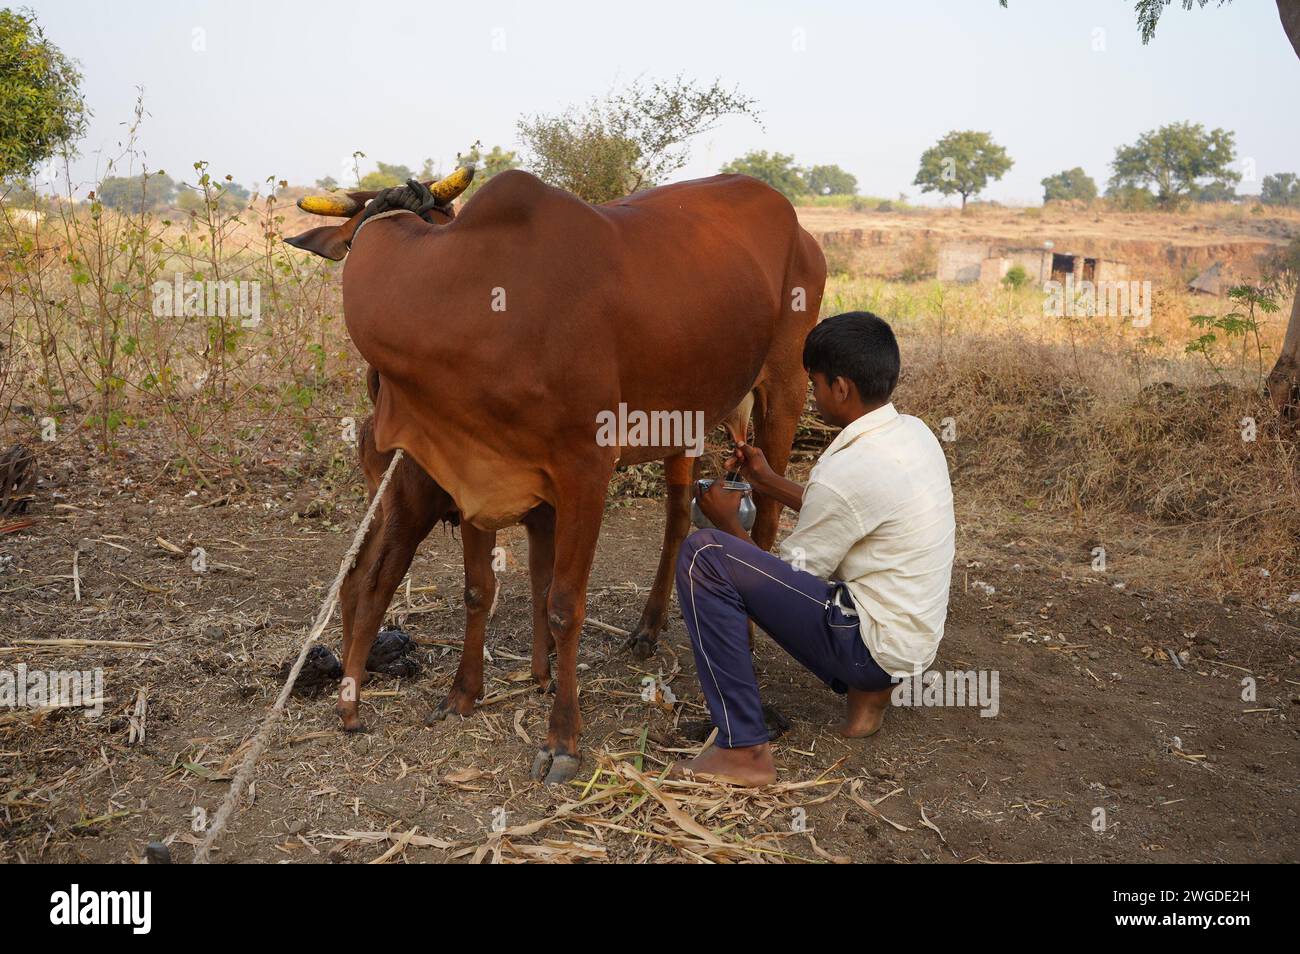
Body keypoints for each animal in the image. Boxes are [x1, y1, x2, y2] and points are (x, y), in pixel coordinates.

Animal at [293, 170, 821, 785]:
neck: (467, 301)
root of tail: (795, 221)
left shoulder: (585, 470)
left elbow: (564, 604)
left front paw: (562, 737)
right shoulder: (474, 470)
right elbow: (479, 589)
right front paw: (464, 695)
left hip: (784, 386)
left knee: (765, 517)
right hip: (684, 417)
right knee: (676, 517)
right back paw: (648, 627)